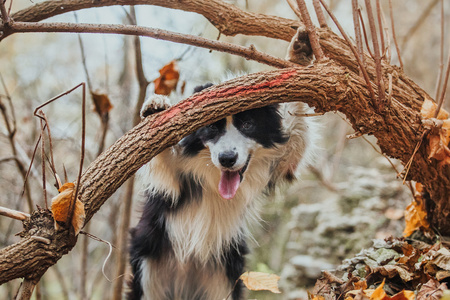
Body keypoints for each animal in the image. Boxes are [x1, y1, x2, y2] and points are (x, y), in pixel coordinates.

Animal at [128, 82, 314, 300]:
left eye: (247, 125)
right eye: (212, 127)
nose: (227, 159)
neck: (215, 175)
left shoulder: (280, 163)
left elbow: (297, 141)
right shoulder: (178, 177)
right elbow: (164, 158)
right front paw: (155, 106)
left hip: (222, 276)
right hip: (150, 269)